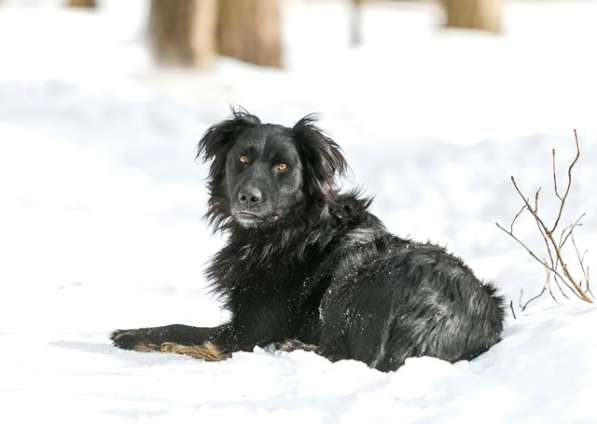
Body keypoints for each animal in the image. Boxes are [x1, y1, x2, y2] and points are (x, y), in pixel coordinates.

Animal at [112, 110, 502, 372]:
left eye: (283, 166)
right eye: (242, 158)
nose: (248, 198)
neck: (290, 231)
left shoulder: (246, 331)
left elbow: (182, 328)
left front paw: (129, 335)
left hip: (357, 273)